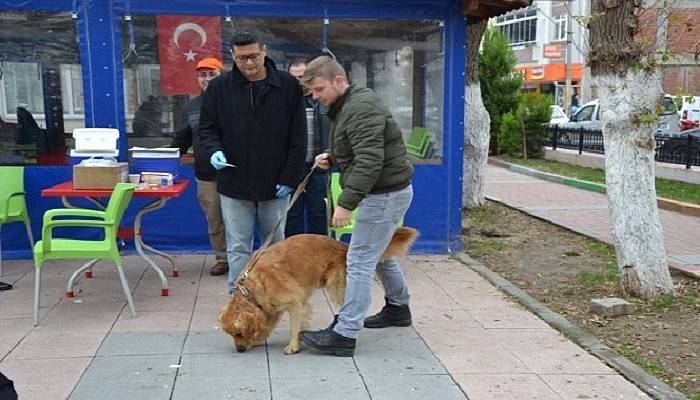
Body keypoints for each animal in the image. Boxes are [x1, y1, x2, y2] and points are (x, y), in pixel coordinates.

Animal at [220, 227, 416, 354]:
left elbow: (294, 326)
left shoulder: (295, 302)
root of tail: (343, 246)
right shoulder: (273, 308)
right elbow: (270, 323)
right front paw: (260, 337)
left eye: (238, 333)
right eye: (232, 335)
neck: (252, 289)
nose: (239, 350)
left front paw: (294, 345)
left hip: (336, 286)